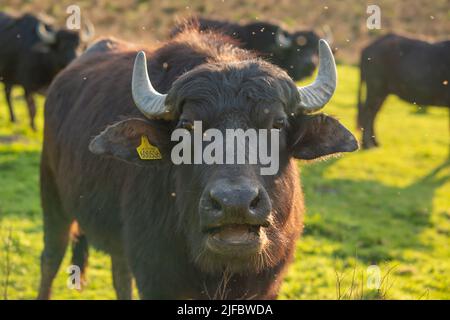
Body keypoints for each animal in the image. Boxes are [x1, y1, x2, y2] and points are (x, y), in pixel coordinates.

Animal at [37, 28, 356, 300]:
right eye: (188, 127)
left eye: (277, 123)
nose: (235, 203)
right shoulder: (154, 277)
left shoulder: (269, 282)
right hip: (51, 194)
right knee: (51, 257)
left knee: (119, 273)